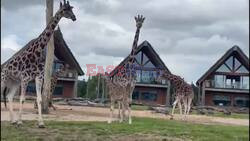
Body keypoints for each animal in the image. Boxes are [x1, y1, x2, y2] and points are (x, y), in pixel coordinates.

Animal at [0, 0, 76, 128]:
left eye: (71, 9)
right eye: (65, 10)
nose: (74, 17)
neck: (37, 52)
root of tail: (4, 66)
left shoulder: (38, 77)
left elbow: (39, 99)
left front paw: (40, 123)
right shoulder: (25, 78)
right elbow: (22, 99)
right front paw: (20, 121)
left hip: (14, 81)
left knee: (9, 96)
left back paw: (12, 120)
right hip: (4, 78)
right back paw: (14, 120)